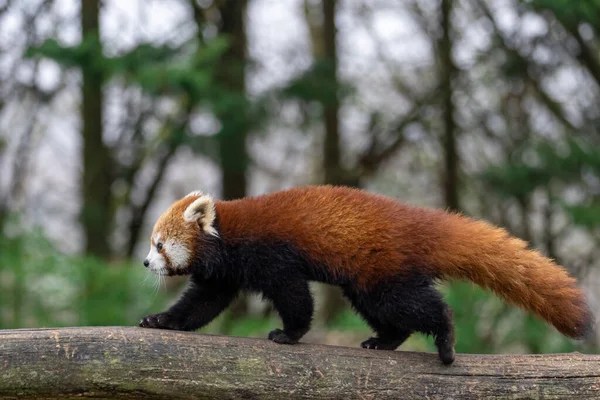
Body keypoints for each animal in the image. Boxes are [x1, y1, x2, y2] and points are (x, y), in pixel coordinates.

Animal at [138, 186, 592, 364]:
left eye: (158, 244)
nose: (144, 264)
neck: (229, 235)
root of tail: (416, 221)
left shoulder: (273, 255)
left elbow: (295, 295)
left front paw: (290, 333)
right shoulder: (223, 274)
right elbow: (201, 304)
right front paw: (160, 320)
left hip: (382, 271)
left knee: (418, 306)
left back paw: (445, 341)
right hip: (367, 282)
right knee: (389, 314)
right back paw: (384, 341)